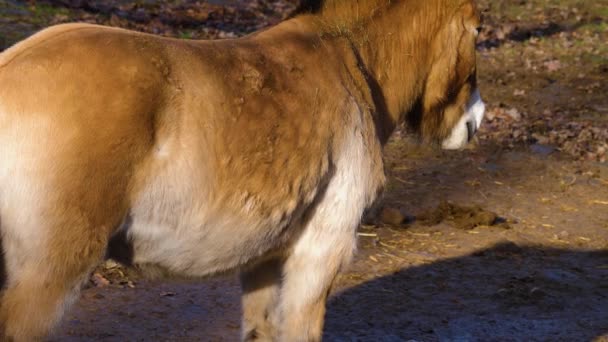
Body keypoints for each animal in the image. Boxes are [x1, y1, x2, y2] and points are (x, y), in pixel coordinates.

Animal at [0, 0, 484, 340]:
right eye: (479, 29)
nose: (476, 120)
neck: (346, 58)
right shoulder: (320, 253)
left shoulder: (264, 261)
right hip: (48, 277)